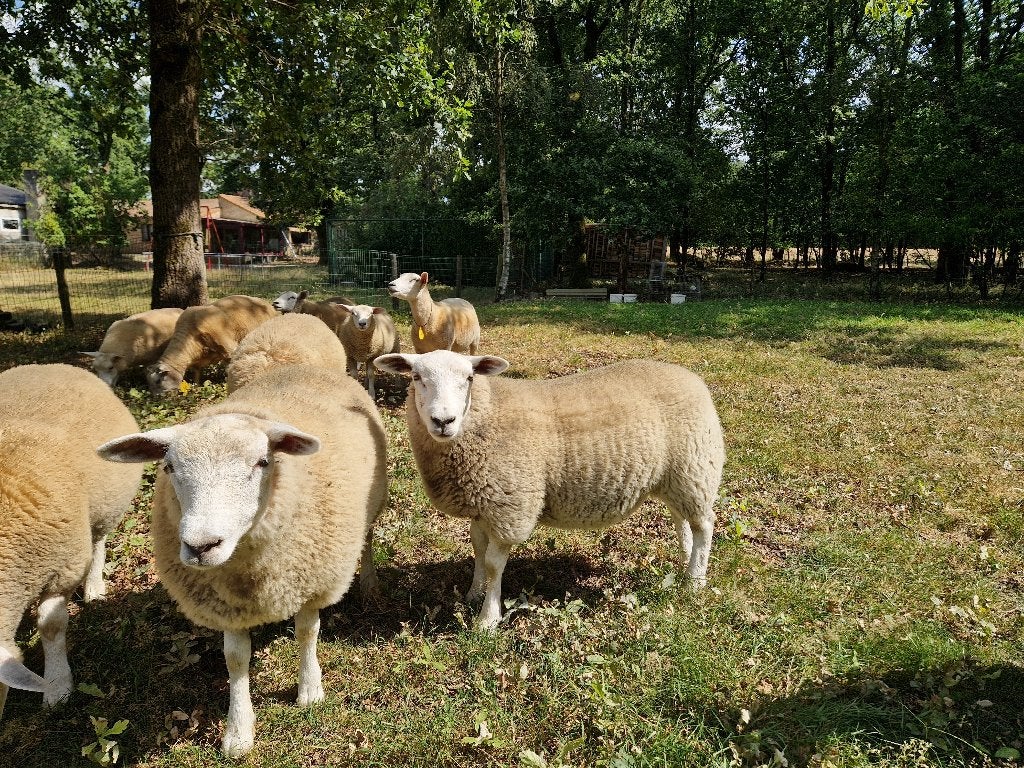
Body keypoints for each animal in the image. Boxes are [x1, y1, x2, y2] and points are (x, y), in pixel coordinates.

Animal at [0, 364, 143, 715]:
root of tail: (54, 366)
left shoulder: (63, 568)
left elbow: (51, 627)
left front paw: (57, 686)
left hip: (102, 510)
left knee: (98, 543)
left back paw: (94, 588)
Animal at [97, 363, 388, 757]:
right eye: (169, 467)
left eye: (263, 462)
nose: (201, 546)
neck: (247, 573)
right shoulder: (223, 605)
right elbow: (235, 659)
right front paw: (238, 730)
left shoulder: (312, 582)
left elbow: (307, 633)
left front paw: (310, 690)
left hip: (374, 499)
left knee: (368, 539)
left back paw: (370, 582)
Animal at [146, 294, 277, 395]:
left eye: (158, 381)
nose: (157, 398)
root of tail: (263, 301)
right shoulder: (198, 361)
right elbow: (197, 374)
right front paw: (197, 387)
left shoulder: (229, 347)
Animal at [374, 351, 726, 630]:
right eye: (416, 377)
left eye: (470, 378)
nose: (443, 421)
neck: (486, 415)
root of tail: (692, 378)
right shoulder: (482, 503)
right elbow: (477, 550)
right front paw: (473, 593)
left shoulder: (509, 506)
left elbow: (494, 564)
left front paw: (487, 619)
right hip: (675, 477)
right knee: (683, 520)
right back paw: (686, 561)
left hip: (696, 467)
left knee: (705, 525)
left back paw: (695, 582)